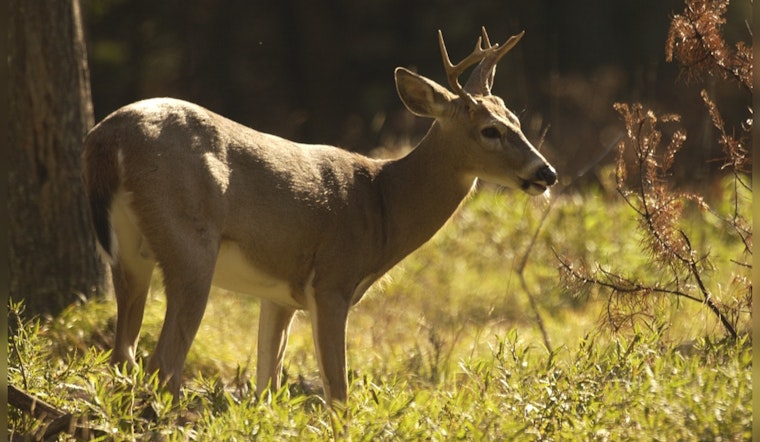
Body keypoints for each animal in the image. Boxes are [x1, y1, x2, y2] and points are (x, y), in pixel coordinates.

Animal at [82, 27, 557, 405]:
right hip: (190, 246)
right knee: (162, 364)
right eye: (489, 130)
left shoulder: (279, 294)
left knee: (123, 355)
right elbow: (338, 392)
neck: (382, 204)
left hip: (130, 255)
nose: (546, 173)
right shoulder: (332, 282)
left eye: (516, 120)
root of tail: (107, 138)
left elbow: (266, 386)